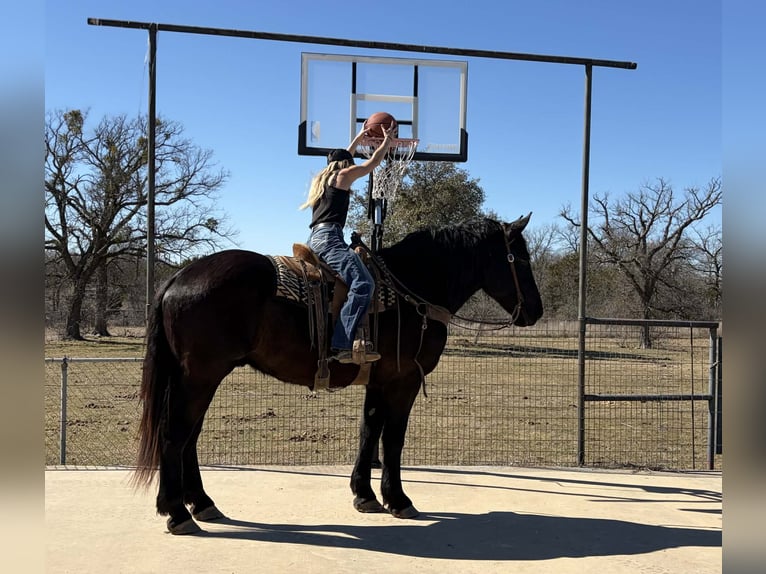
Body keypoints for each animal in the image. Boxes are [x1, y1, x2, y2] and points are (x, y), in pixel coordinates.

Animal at [133, 214, 543, 534]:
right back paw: (177, 512)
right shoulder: (403, 382)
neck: (411, 288)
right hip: (199, 377)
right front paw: (398, 499)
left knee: (189, 436)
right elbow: (393, 439)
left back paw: (202, 503)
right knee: (175, 434)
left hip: (200, 378)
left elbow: (369, 432)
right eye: (521, 259)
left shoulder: (379, 381)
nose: (536, 311)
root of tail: (178, 278)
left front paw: (364, 495)